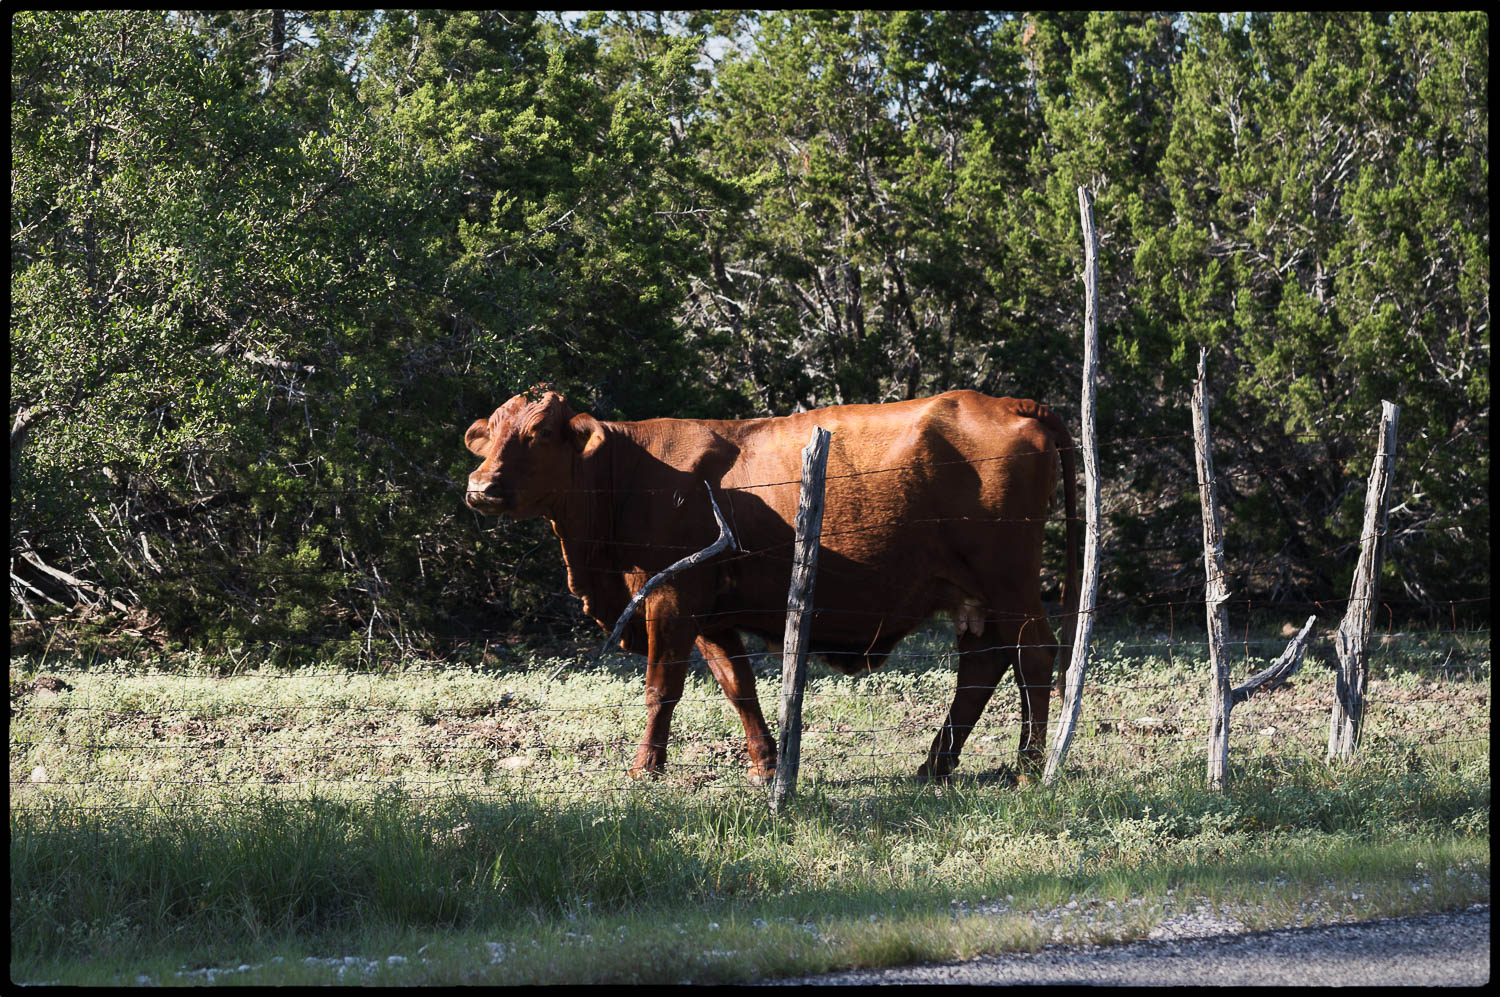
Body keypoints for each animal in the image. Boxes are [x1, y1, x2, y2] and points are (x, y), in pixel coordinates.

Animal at [462, 383, 1074, 779]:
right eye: (491, 435)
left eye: (540, 433)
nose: (479, 486)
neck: (632, 474)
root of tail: (1008, 402)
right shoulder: (709, 612)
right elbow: (738, 686)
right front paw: (766, 765)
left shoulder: (671, 597)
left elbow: (662, 687)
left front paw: (644, 769)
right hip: (975, 592)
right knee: (983, 666)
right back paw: (934, 766)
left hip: (1009, 579)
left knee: (1034, 653)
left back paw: (1028, 767)